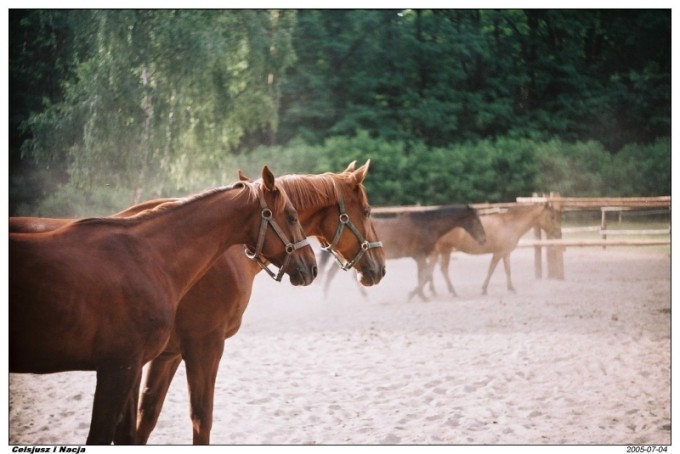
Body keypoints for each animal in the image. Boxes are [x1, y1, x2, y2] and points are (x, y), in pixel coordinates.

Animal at [322, 206, 486, 302]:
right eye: (475, 220)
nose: (483, 239)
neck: (426, 226)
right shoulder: (419, 256)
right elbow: (425, 275)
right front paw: (415, 295)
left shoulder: (420, 257)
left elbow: (424, 275)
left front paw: (420, 295)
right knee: (332, 274)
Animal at [428, 201, 560, 294]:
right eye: (552, 216)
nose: (558, 233)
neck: (510, 224)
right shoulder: (498, 253)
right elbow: (491, 270)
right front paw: (484, 289)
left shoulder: (506, 253)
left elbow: (508, 270)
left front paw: (511, 288)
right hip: (445, 250)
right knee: (443, 269)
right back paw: (451, 291)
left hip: (437, 251)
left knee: (431, 268)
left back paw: (433, 291)